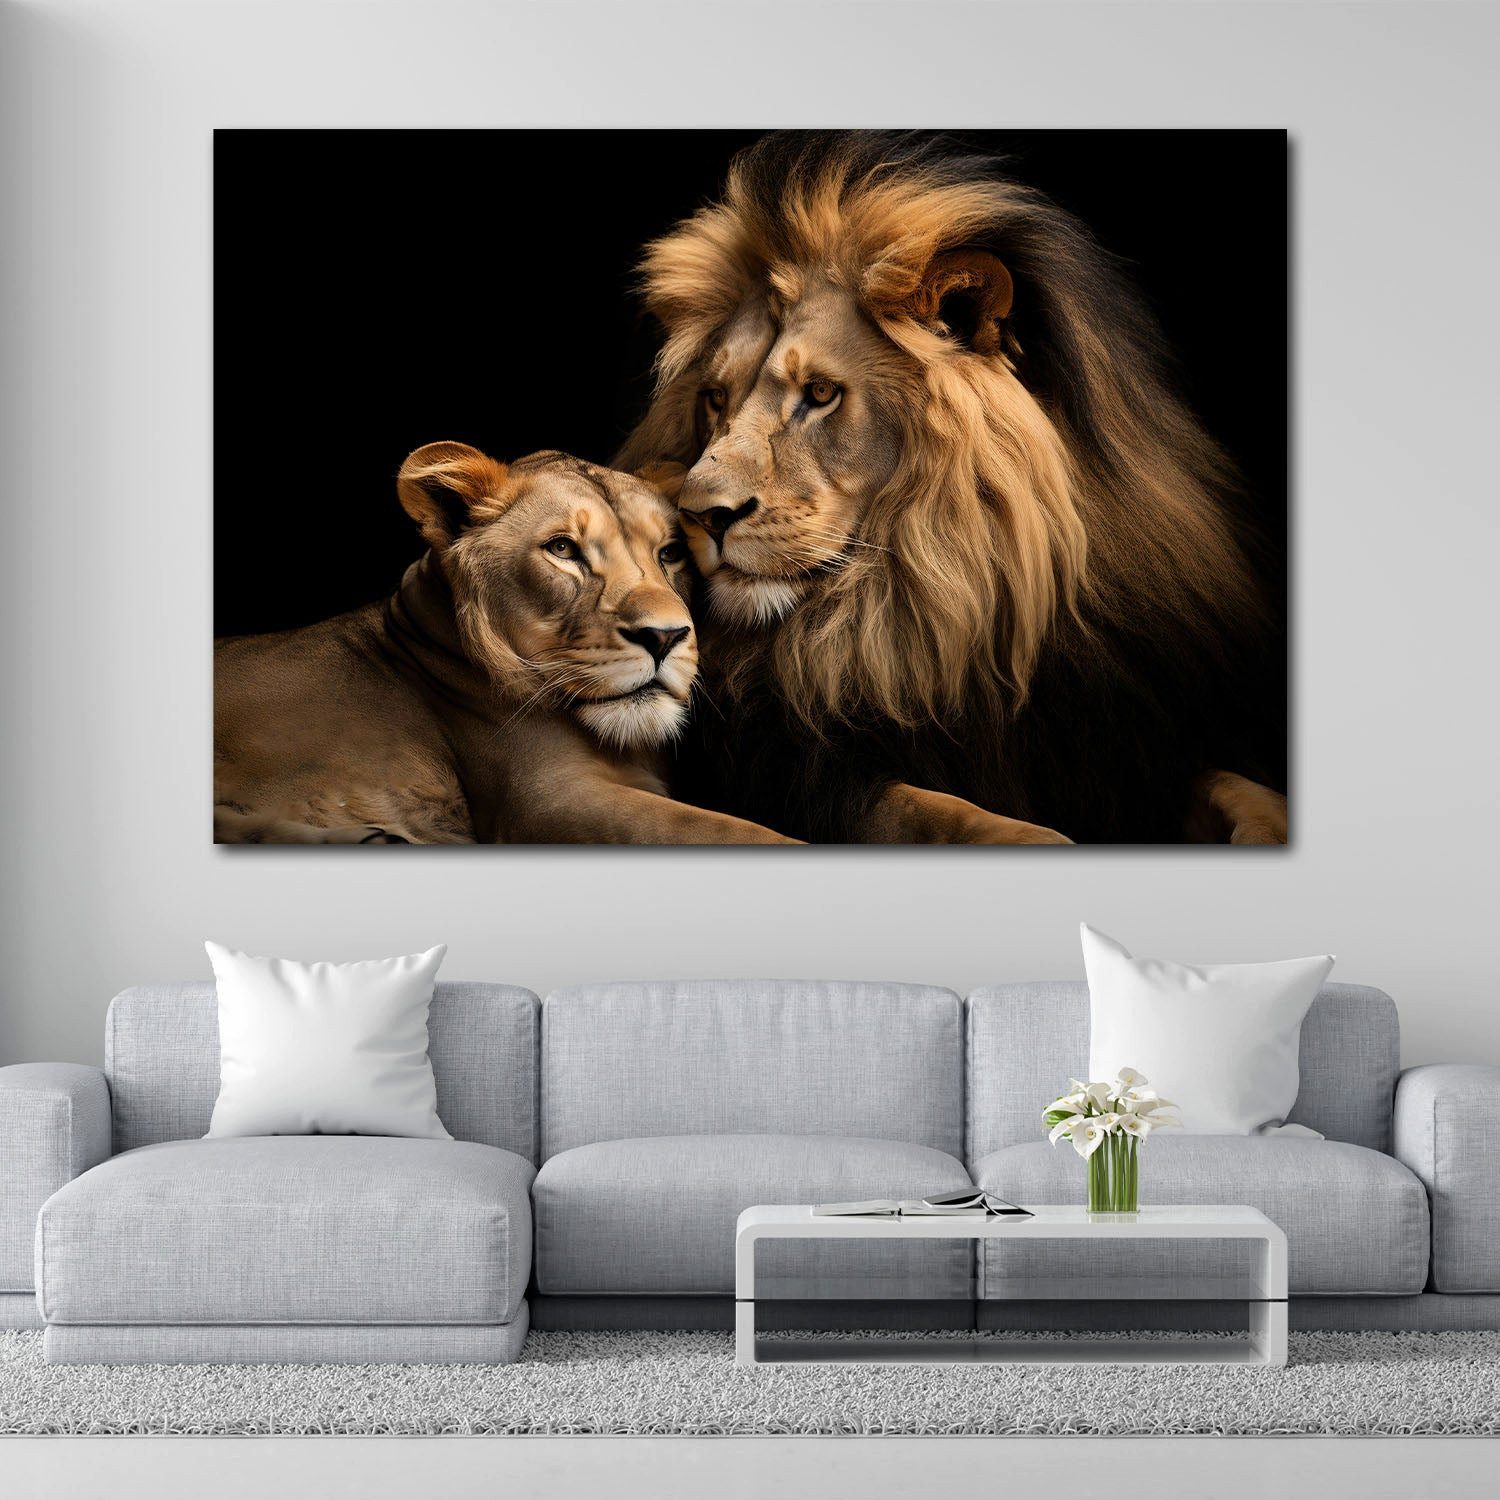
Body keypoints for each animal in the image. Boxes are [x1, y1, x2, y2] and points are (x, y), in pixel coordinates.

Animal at [618, 131, 1288, 845]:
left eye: (820, 393)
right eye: (715, 398)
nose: (700, 514)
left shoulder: (1138, 743)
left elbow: (1243, 790)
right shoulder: (808, 773)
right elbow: (941, 810)